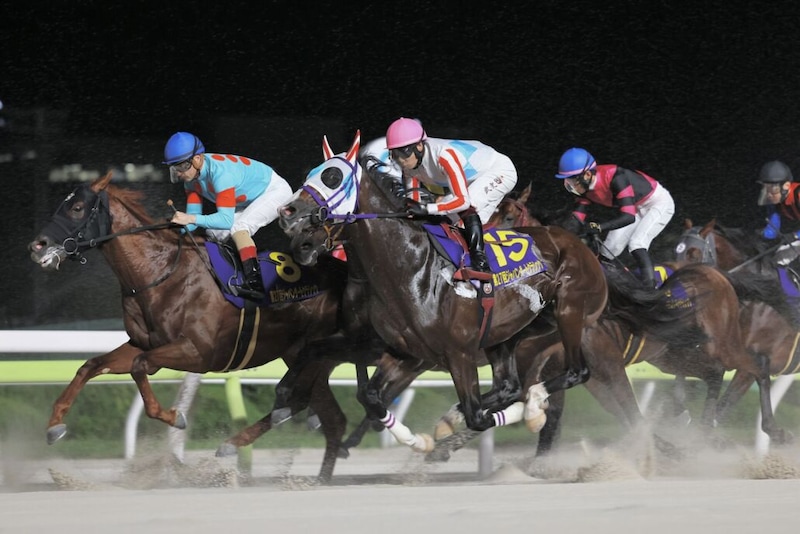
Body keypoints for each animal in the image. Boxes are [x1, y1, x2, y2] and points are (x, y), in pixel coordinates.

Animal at [27, 172, 388, 482]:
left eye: (76, 207)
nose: (37, 246)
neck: (159, 273)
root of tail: (348, 276)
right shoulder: (144, 343)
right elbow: (91, 365)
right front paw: (54, 426)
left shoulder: (199, 352)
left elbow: (140, 366)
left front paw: (175, 416)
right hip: (305, 354)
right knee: (332, 419)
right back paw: (318, 479)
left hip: (314, 352)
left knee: (301, 401)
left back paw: (235, 444)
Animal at [278, 129, 609, 453]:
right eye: (311, 173)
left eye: (332, 177)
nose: (287, 213)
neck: (409, 269)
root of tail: (580, 245)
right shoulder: (400, 351)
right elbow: (364, 392)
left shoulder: (455, 354)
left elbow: (476, 418)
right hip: (514, 331)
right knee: (510, 386)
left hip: (568, 313)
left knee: (573, 373)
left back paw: (532, 408)